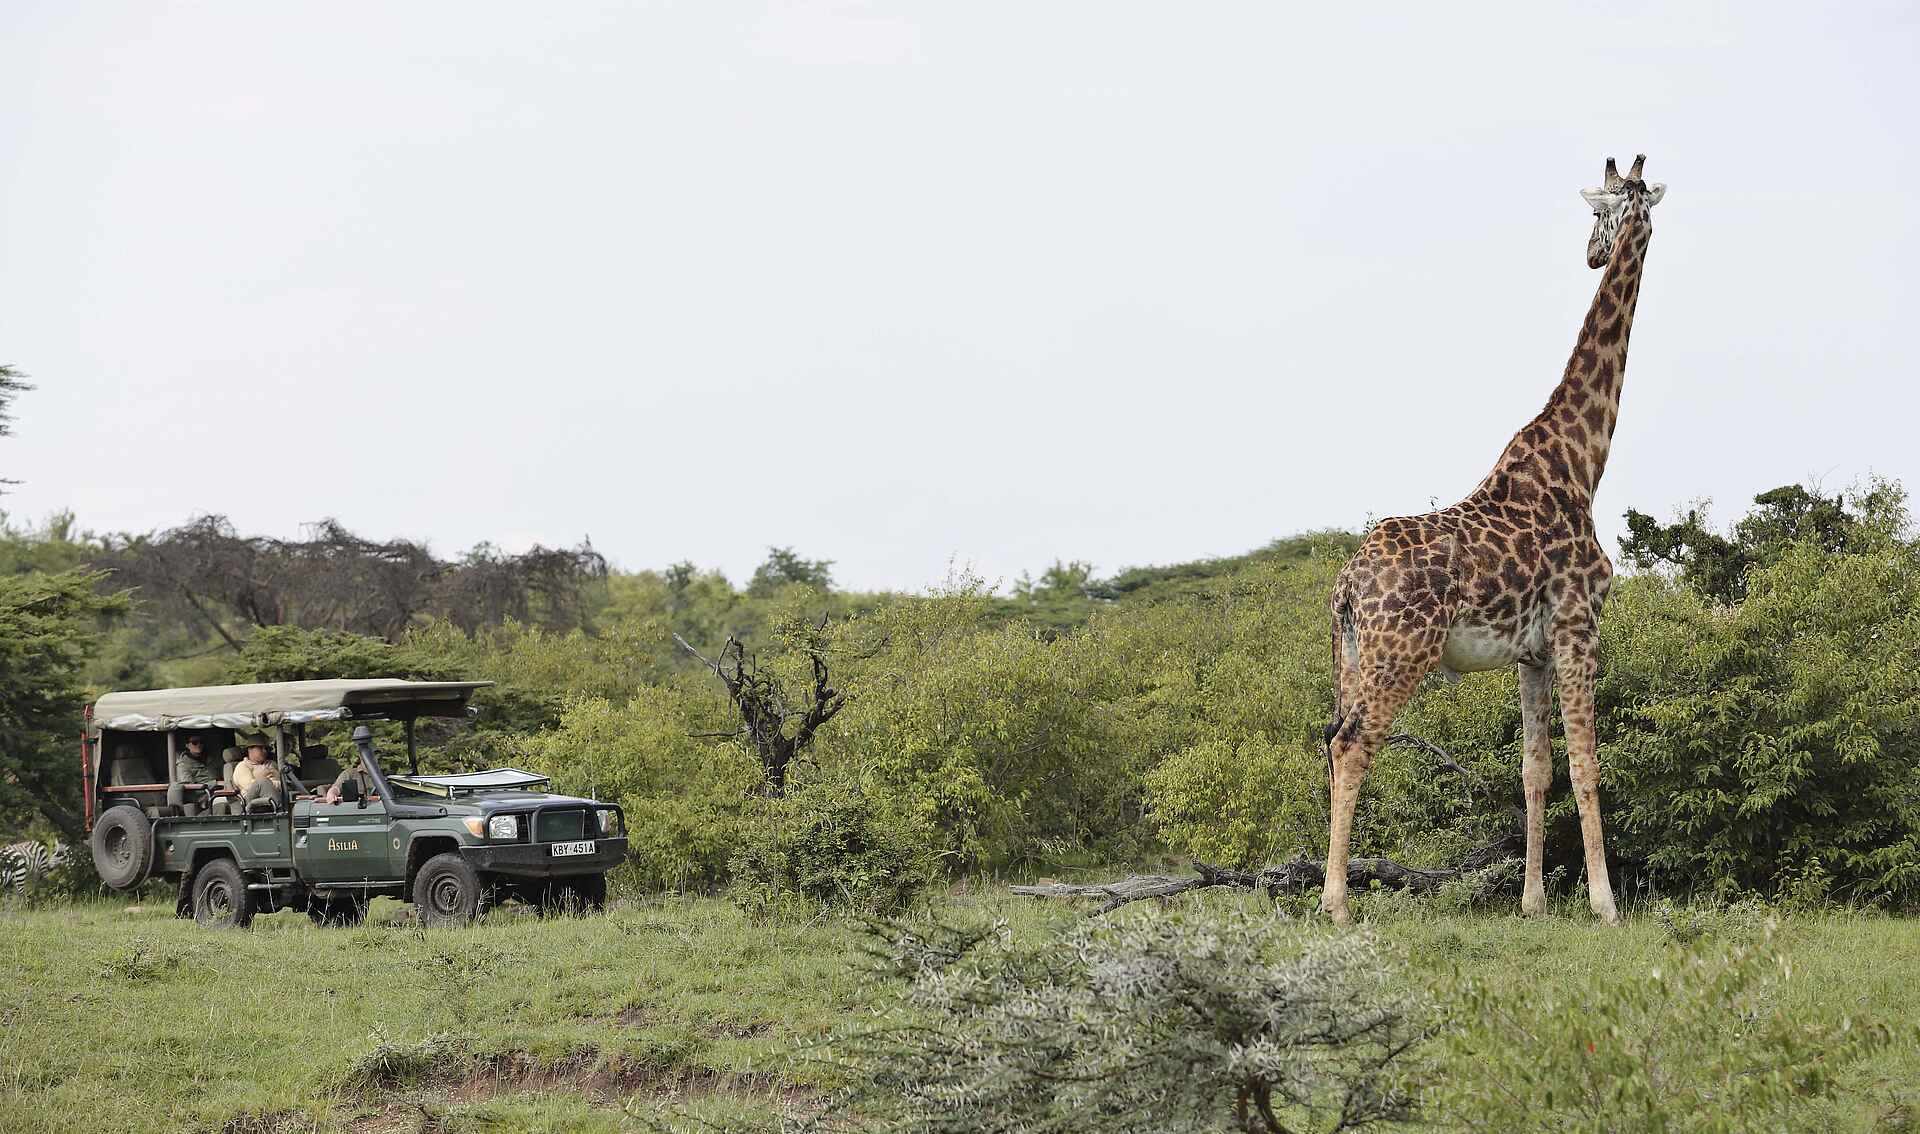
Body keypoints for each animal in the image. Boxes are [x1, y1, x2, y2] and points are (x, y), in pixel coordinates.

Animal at [1319, 155, 1666, 927]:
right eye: (1597, 211)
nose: (1593, 252)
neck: (1582, 461)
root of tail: (1349, 585)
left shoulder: (1532, 652)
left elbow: (1536, 770)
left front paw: (1534, 901)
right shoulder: (1578, 627)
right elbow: (1586, 763)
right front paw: (1605, 903)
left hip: (1352, 656)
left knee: (1330, 740)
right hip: (1402, 653)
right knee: (1354, 745)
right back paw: (1336, 904)